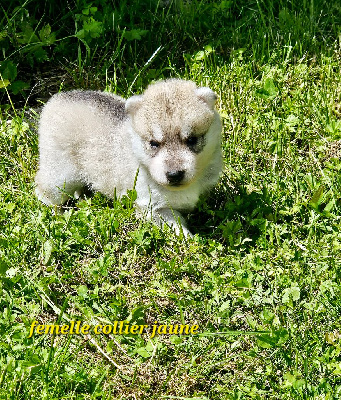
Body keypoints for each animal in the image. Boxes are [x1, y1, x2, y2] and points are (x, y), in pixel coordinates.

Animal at [35, 79, 222, 236]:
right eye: (154, 143)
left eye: (192, 140)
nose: (174, 174)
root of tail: (57, 99)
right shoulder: (151, 207)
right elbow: (174, 222)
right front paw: (187, 238)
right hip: (62, 174)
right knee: (45, 189)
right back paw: (57, 213)